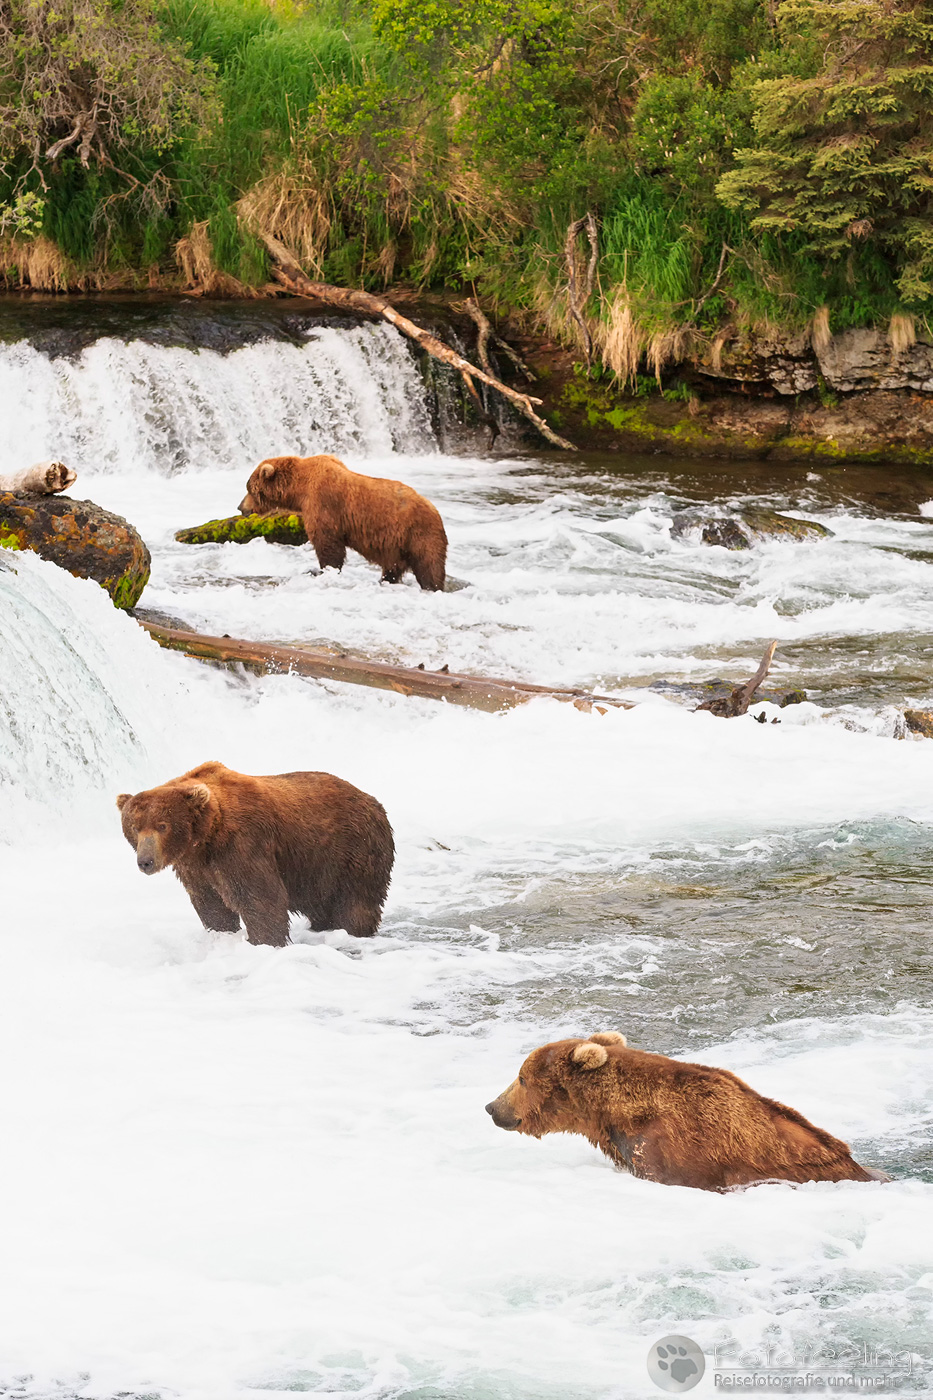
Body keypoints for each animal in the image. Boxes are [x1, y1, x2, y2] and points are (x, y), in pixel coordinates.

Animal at [117, 761, 394, 946]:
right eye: (135, 827)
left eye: (162, 825)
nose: (146, 861)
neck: (205, 837)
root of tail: (374, 802)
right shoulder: (194, 866)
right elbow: (210, 902)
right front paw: (222, 934)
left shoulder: (242, 845)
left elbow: (259, 897)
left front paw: (263, 942)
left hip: (352, 850)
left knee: (356, 902)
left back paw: (352, 930)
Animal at [239, 454, 447, 591]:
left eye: (250, 489)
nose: (241, 507)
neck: (300, 488)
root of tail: (436, 511)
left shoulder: (323, 503)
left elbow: (328, 544)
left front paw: (322, 570)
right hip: (397, 546)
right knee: (393, 568)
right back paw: (385, 581)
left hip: (418, 533)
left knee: (429, 566)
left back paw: (432, 587)